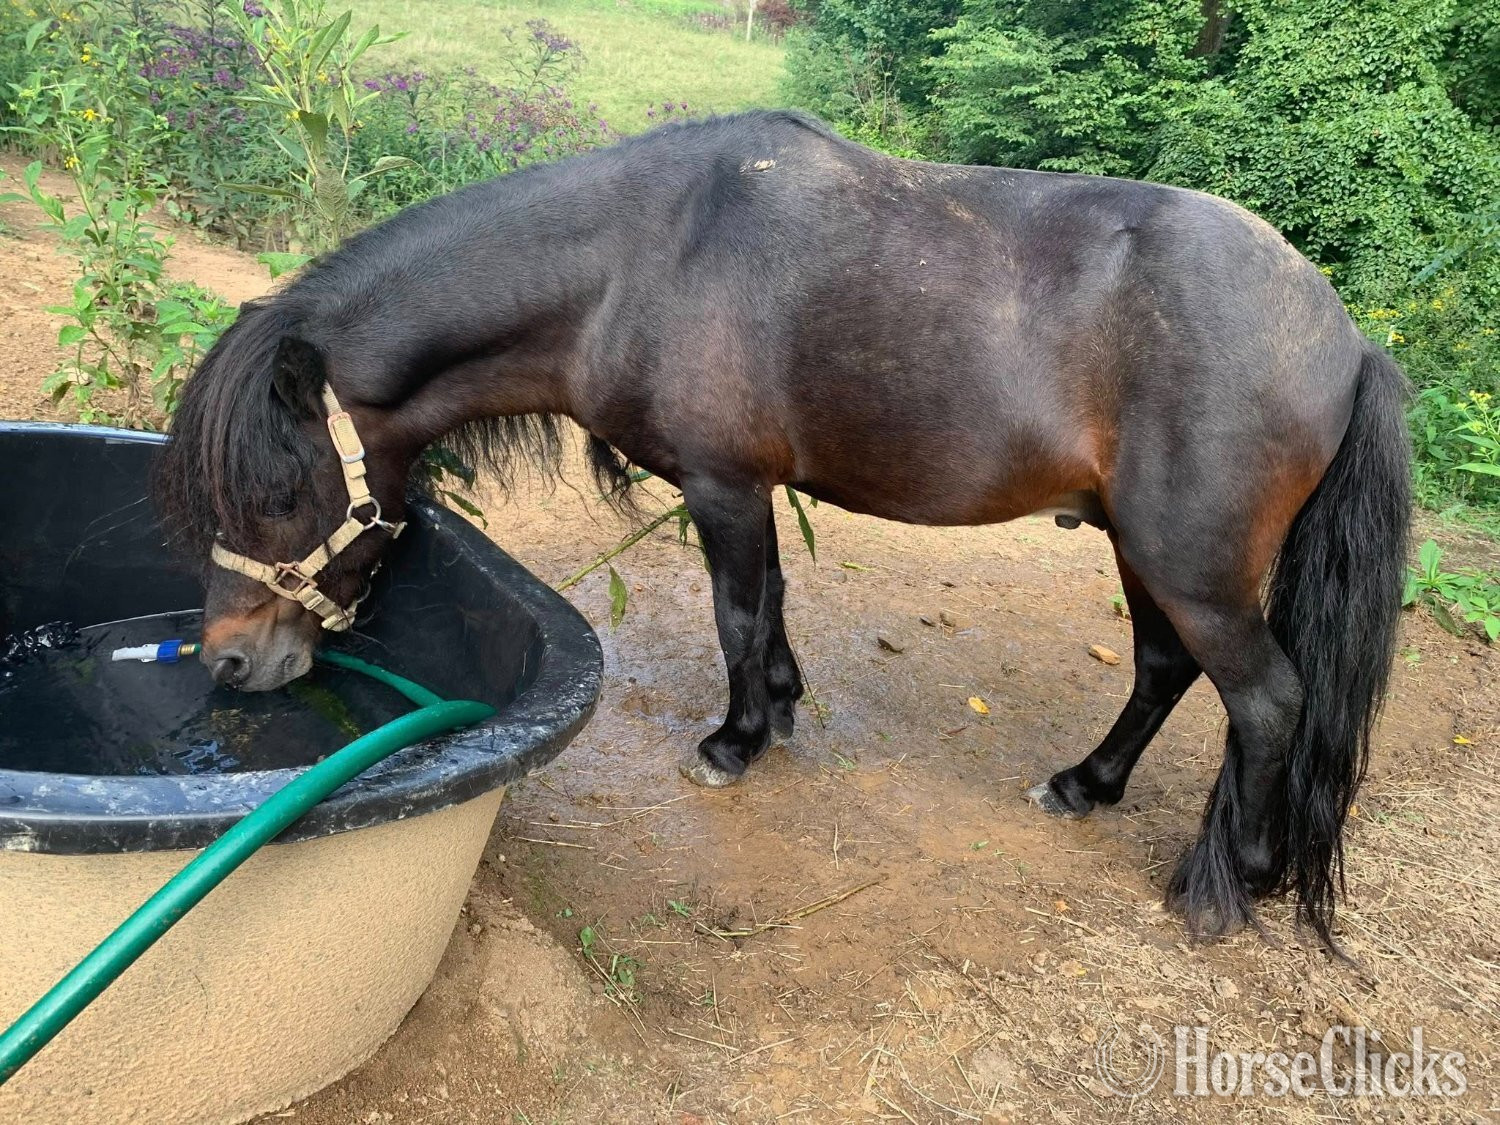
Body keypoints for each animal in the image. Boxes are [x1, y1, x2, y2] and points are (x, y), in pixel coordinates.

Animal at [155, 109, 1411, 947]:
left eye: (279, 496)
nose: (228, 662)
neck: (632, 259)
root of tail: (1345, 339)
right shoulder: (753, 489)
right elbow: (774, 609)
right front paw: (785, 703)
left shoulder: (721, 486)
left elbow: (737, 611)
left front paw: (736, 740)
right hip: (1146, 554)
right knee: (1162, 671)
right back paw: (1089, 786)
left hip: (1190, 566)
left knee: (1267, 700)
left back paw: (1230, 879)